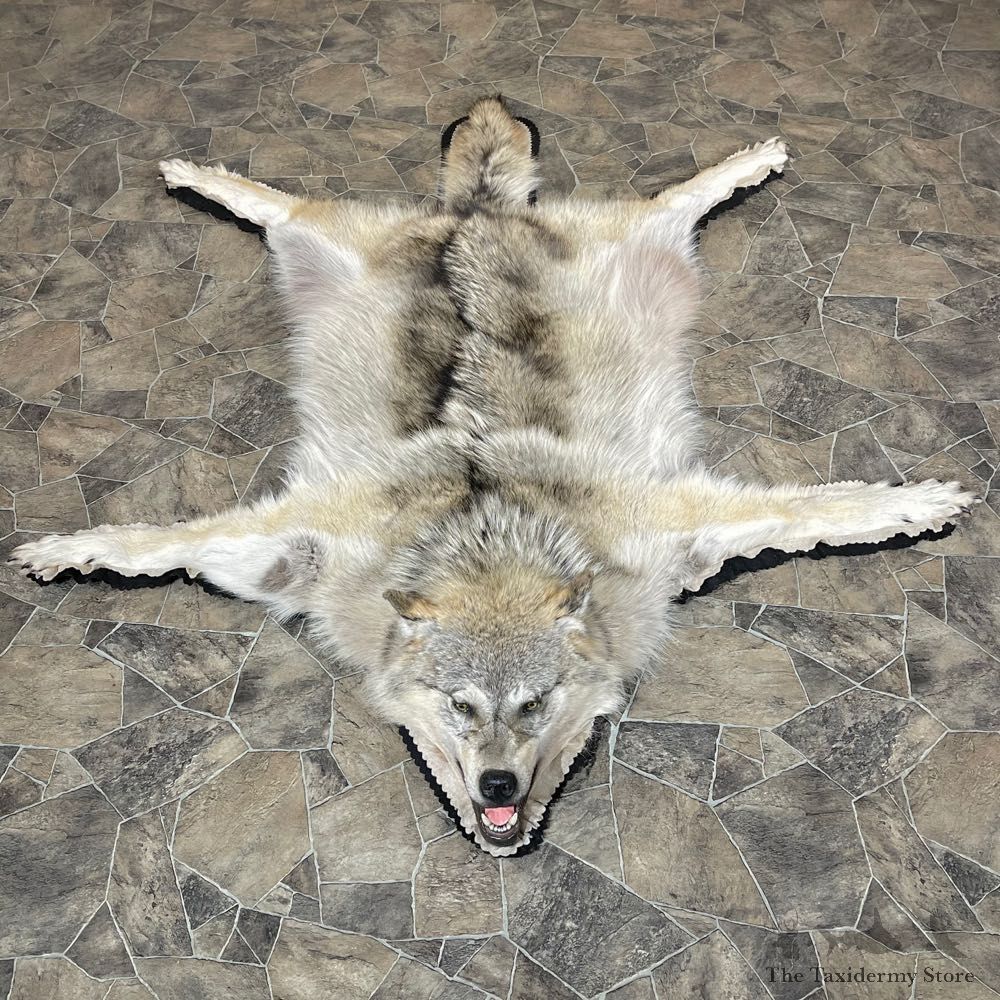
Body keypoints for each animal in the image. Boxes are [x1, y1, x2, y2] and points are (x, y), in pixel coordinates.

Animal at [10, 98, 978, 855]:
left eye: (535, 705)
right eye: (462, 708)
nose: (499, 789)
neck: (484, 535)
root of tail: (474, 215)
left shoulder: (672, 529)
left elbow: (826, 507)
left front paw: (922, 501)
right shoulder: (291, 550)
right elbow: (151, 541)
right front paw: (66, 548)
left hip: (636, 236)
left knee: (677, 195)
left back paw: (751, 160)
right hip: (319, 239)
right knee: (279, 201)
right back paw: (194, 171)